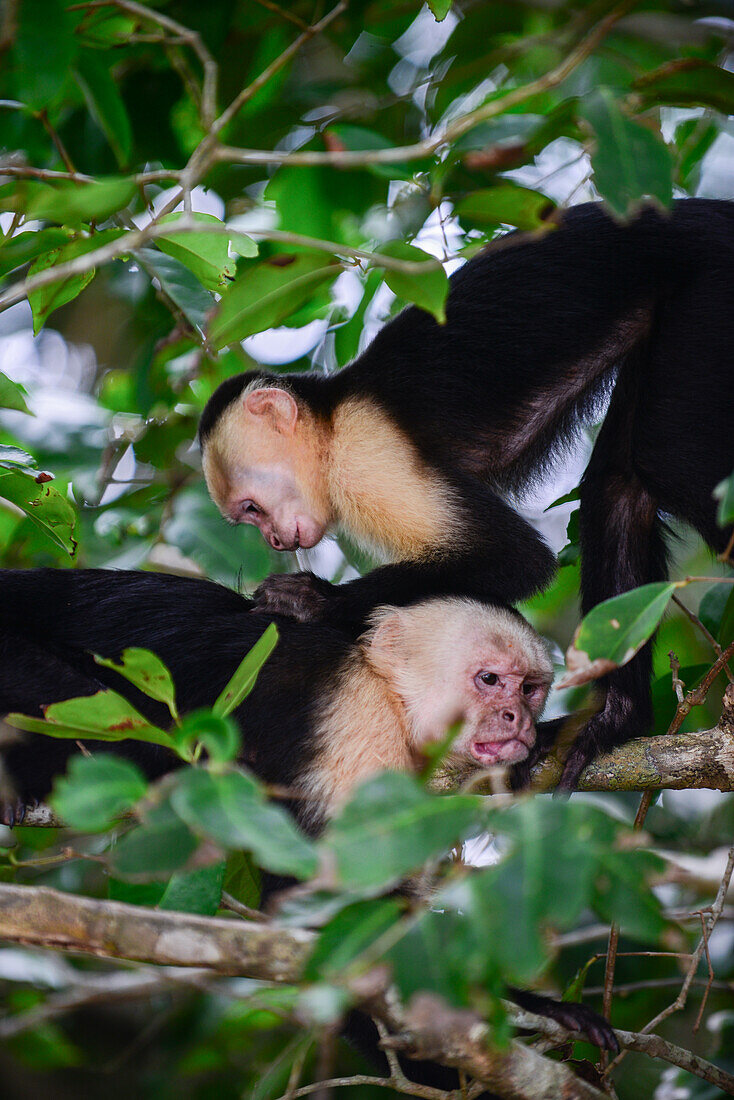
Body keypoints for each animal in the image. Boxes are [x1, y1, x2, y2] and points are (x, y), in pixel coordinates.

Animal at [199, 198, 734, 792]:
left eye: (251, 507)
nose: (272, 539)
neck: (333, 418)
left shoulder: (365, 455)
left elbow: (516, 558)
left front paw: (316, 601)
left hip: (713, 287)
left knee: (671, 461)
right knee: (622, 483)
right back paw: (616, 720)